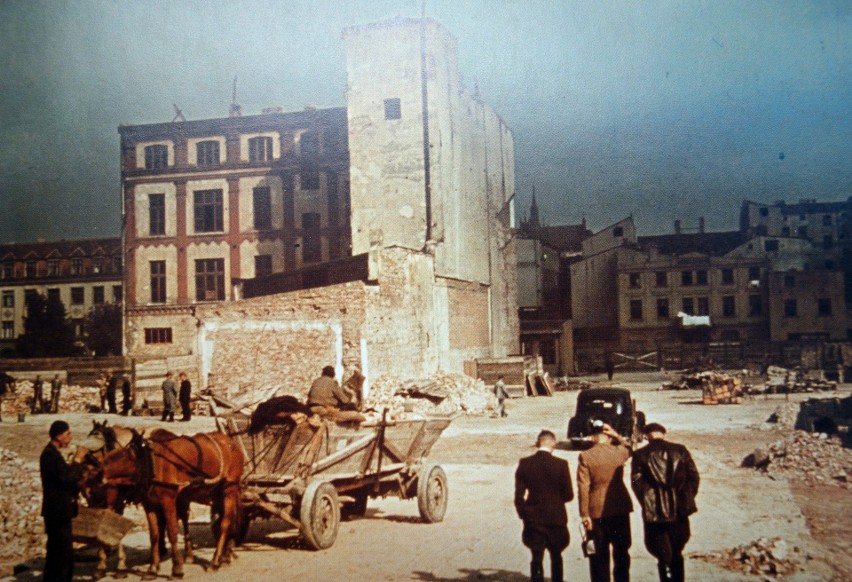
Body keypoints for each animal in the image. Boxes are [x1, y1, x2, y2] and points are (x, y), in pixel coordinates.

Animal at [102, 428, 246, 580]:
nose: (109, 506)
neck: (149, 462)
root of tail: (232, 443)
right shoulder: (149, 504)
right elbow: (154, 535)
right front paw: (152, 569)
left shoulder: (168, 500)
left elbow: (172, 532)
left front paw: (177, 568)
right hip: (217, 492)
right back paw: (225, 556)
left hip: (229, 489)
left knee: (225, 523)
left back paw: (215, 561)